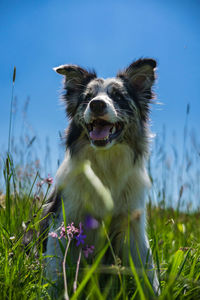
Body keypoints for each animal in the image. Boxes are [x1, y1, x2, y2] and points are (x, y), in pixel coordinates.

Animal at [40, 58, 159, 296]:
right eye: (87, 97)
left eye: (118, 96)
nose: (96, 105)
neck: (105, 166)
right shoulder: (64, 222)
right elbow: (56, 272)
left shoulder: (132, 227)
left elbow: (148, 272)